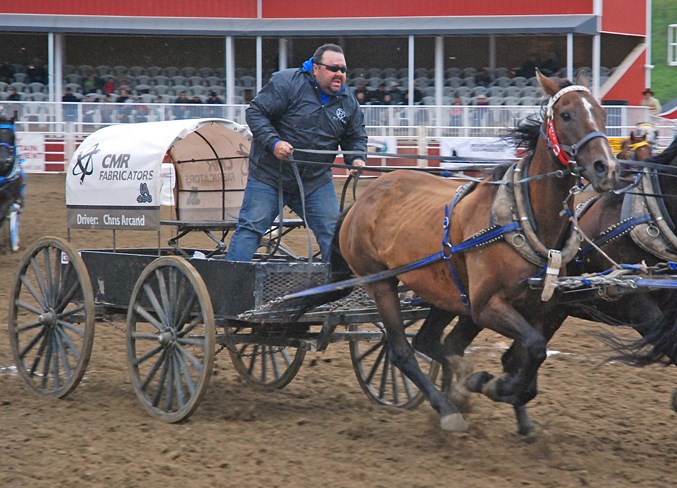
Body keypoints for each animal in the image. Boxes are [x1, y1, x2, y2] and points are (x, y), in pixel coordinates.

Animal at [278, 70, 616, 432]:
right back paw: (447, 408)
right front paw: (492, 386)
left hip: (443, 292)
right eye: (566, 114)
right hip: (381, 283)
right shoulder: (486, 306)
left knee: (428, 342)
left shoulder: (538, 310)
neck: (523, 217)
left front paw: (512, 404)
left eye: (601, 113)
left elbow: (527, 355)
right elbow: (532, 350)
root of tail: (361, 201)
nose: (605, 167)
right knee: (402, 350)